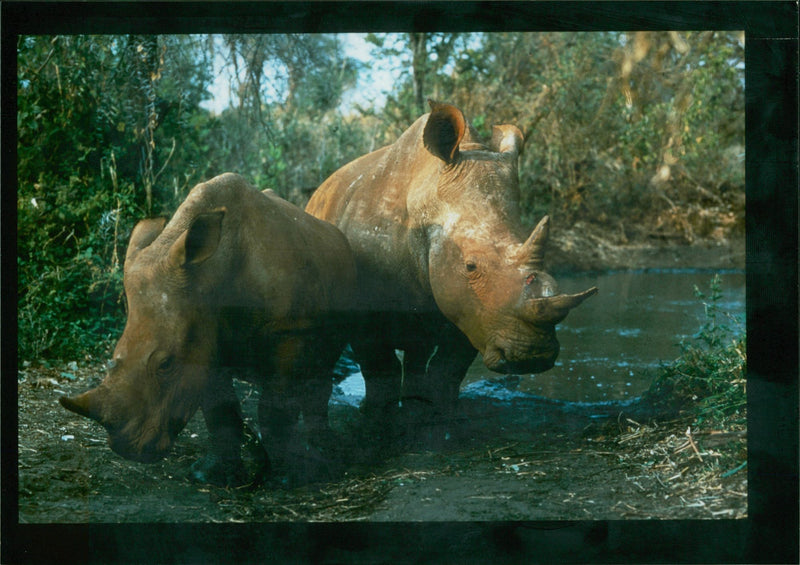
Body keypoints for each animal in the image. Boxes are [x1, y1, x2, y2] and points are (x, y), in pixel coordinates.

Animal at [64, 173, 358, 484]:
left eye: (165, 364)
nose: (127, 450)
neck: (209, 275)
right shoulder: (204, 332)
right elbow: (219, 410)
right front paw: (210, 474)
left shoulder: (290, 330)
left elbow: (275, 408)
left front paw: (288, 476)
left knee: (321, 369)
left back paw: (324, 447)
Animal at [306, 101, 592, 426]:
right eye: (470, 266)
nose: (533, 356)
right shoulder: (367, 307)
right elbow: (380, 366)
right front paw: (377, 415)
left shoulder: (474, 308)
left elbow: (448, 367)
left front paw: (441, 413)